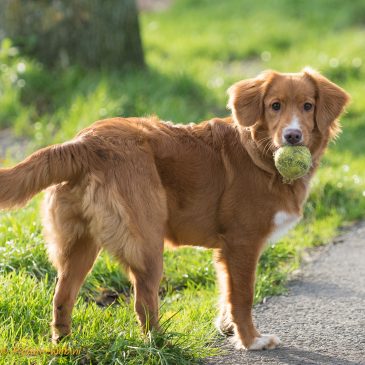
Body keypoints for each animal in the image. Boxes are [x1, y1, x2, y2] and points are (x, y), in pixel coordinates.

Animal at [0, 67, 346, 348]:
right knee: (143, 301)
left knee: (62, 296)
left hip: (80, 245)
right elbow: (243, 297)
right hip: (147, 243)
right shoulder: (242, 243)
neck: (260, 153)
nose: (293, 136)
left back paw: (65, 343)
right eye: (275, 106)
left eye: (308, 106)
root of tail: (85, 142)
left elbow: (227, 293)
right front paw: (250, 340)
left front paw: (227, 327)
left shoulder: (226, 251)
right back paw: (161, 344)